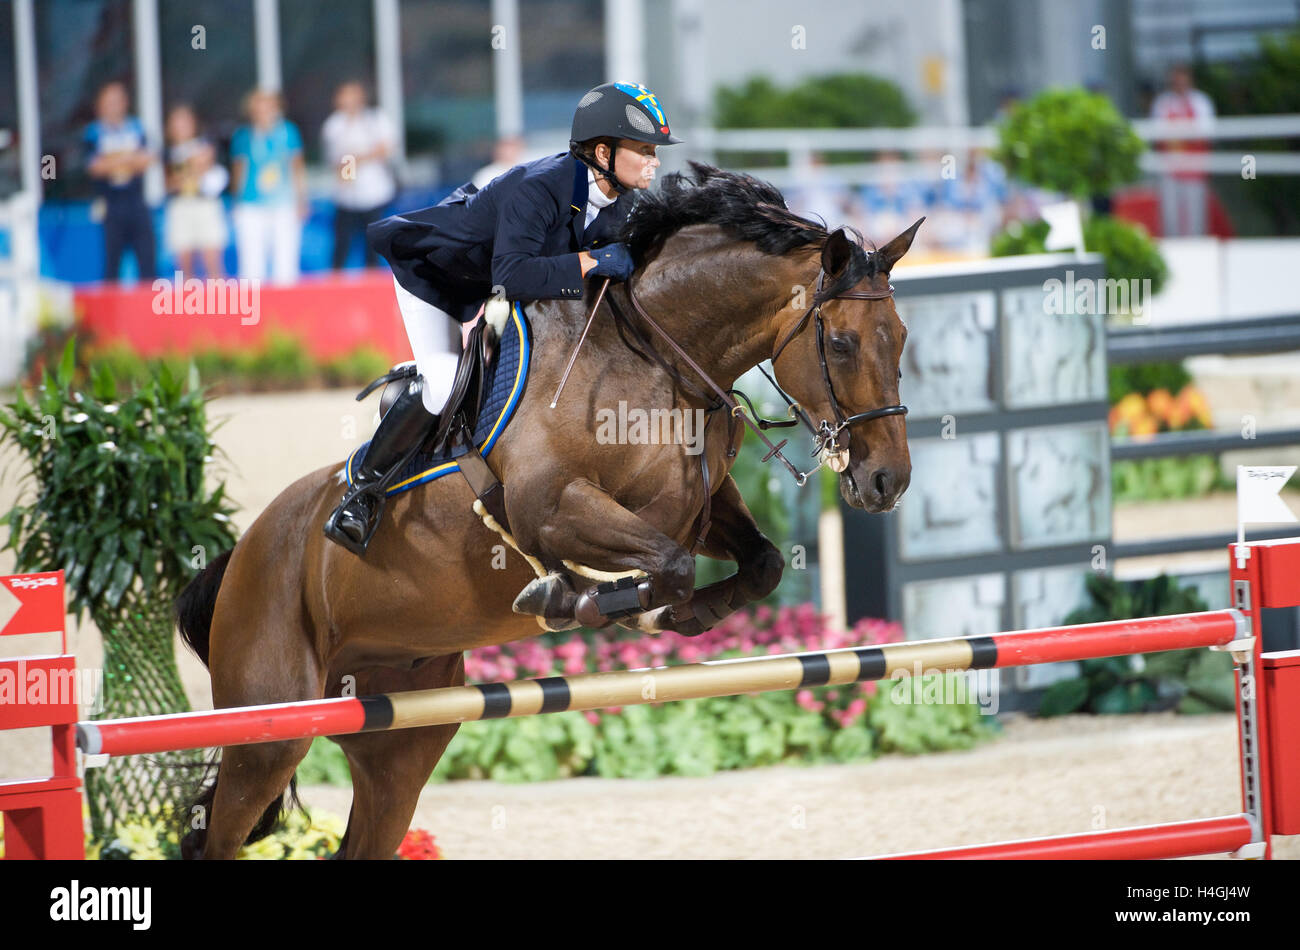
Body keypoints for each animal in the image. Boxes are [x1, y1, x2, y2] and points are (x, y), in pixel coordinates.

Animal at [178, 165, 920, 862]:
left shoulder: (697, 507)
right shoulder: (552, 506)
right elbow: (665, 564)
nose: (888, 481)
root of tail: (240, 554)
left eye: (902, 337)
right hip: (268, 735)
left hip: (401, 736)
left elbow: (756, 562)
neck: (656, 360)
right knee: (222, 828)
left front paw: (684, 614)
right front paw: (590, 602)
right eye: (843, 344)